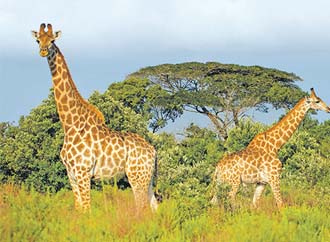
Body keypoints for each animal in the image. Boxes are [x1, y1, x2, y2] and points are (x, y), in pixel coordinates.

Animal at [31, 22, 159, 212]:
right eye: (38, 40)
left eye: (52, 40)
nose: (43, 51)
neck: (70, 125)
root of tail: (153, 151)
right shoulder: (71, 175)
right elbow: (79, 208)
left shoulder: (83, 172)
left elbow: (87, 209)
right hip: (146, 178)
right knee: (154, 207)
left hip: (137, 177)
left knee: (141, 208)